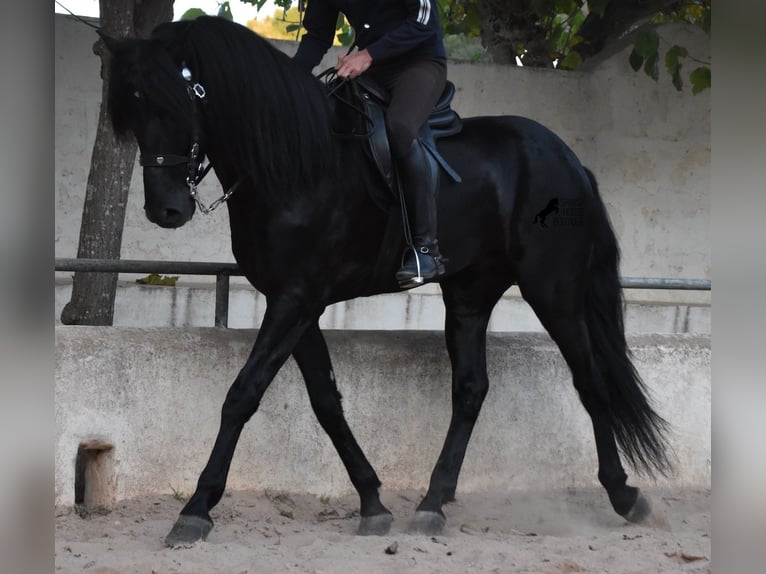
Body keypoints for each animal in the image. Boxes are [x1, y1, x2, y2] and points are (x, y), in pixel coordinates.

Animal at [100, 18, 672, 548]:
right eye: (132, 115)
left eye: (178, 104)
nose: (166, 211)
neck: (296, 164)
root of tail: (568, 159)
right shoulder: (296, 303)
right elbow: (326, 402)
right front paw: (372, 501)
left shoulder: (295, 300)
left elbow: (243, 394)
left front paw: (196, 508)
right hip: (470, 293)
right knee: (471, 389)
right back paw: (433, 502)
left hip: (553, 290)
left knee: (590, 380)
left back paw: (624, 494)